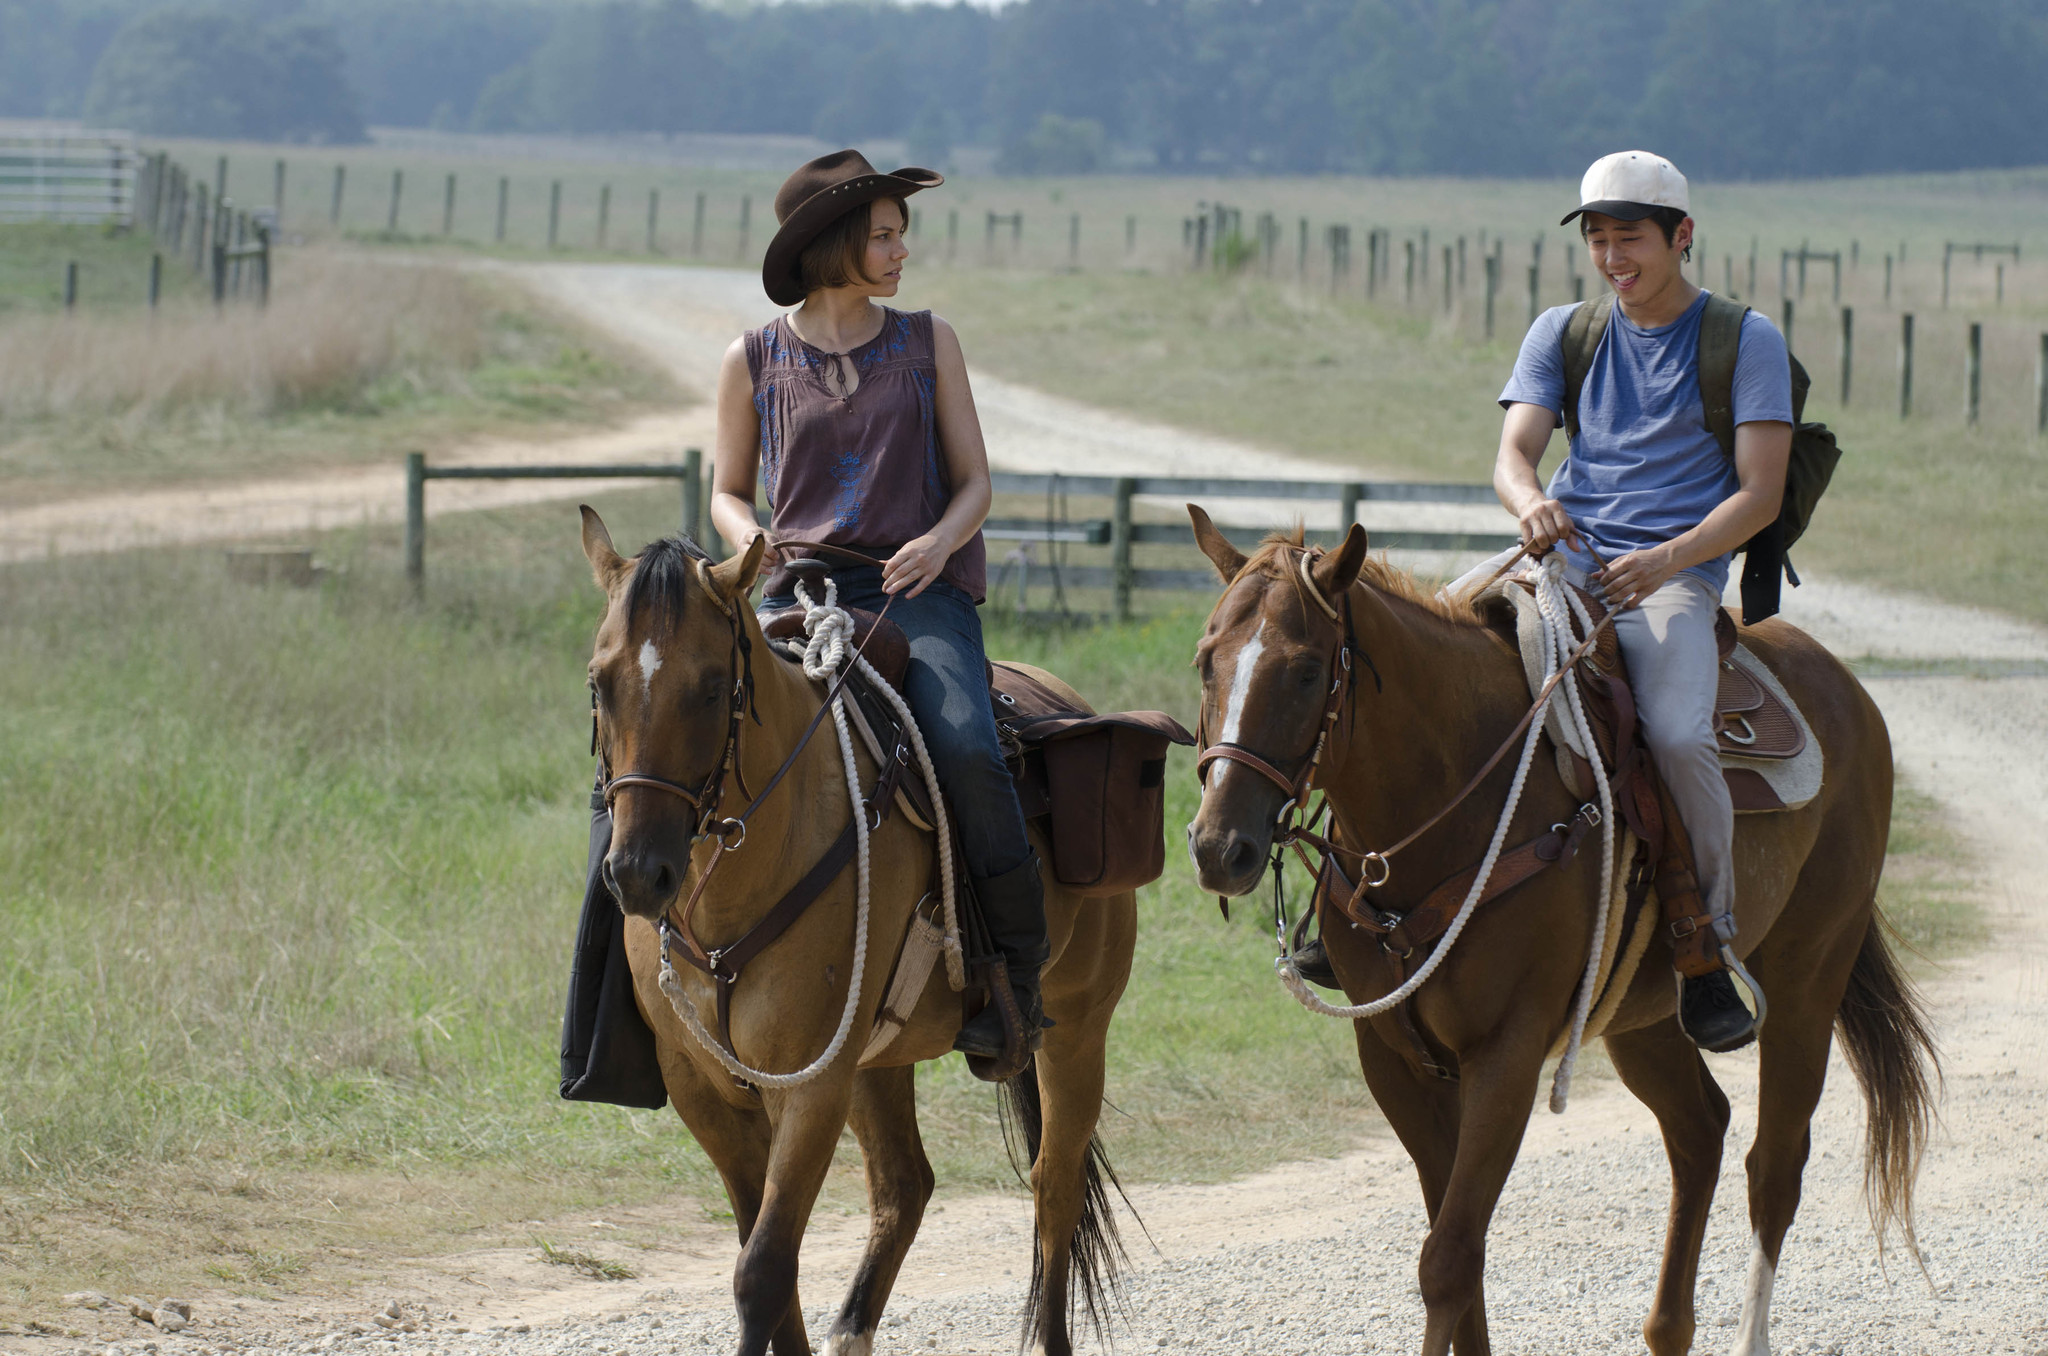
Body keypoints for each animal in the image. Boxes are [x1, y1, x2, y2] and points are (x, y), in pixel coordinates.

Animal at [581, 512, 1138, 1356]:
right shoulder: (702, 1088)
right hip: (880, 1060)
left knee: (1054, 1186)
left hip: (1076, 1029)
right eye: (599, 683)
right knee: (906, 1186)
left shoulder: (812, 1084)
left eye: (710, 687)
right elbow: (768, 1262)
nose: (640, 873)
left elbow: (763, 1271)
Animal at [1187, 512, 1933, 1356]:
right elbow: (1457, 1247)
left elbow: (1447, 1258)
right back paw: (1668, 1328)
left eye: (1309, 672)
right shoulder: (1396, 1059)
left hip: (1810, 978)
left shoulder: (1505, 1055)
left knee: (1774, 1166)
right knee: (1700, 1131)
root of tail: (1849, 691)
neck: (1456, 793)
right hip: (1643, 1018)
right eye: (1206, 663)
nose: (1219, 847)